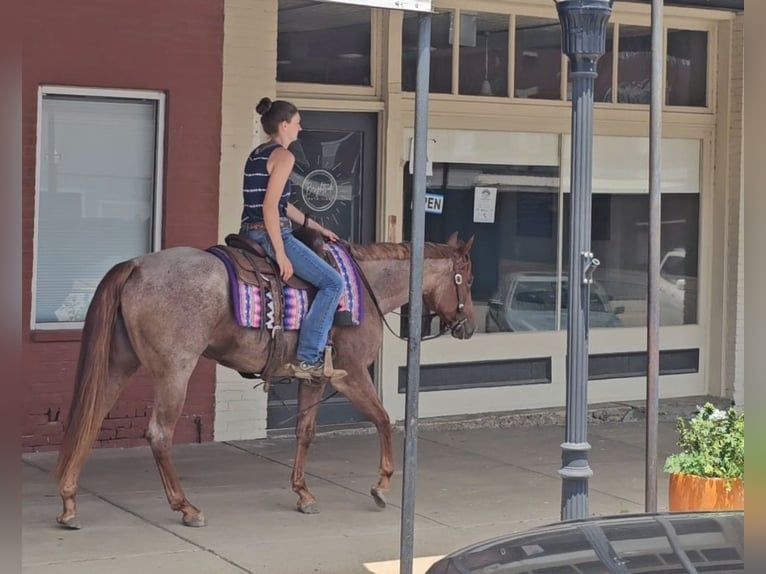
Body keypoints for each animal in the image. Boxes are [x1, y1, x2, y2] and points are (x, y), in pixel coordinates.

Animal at [54, 232, 474, 528]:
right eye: (466, 278)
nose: (468, 327)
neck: (362, 290)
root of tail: (137, 265)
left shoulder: (315, 379)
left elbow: (305, 432)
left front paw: (303, 494)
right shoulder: (351, 374)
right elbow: (384, 420)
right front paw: (382, 486)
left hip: (118, 364)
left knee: (90, 420)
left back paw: (69, 502)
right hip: (175, 370)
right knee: (158, 435)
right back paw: (186, 507)